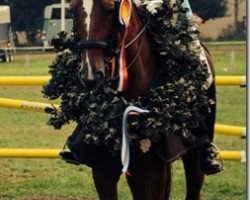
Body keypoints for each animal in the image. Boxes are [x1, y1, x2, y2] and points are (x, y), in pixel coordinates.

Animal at [69, 0, 217, 199]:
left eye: (109, 10)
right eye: (72, 10)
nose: (91, 74)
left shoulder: (155, 171)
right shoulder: (102, 168)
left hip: (193, 157)